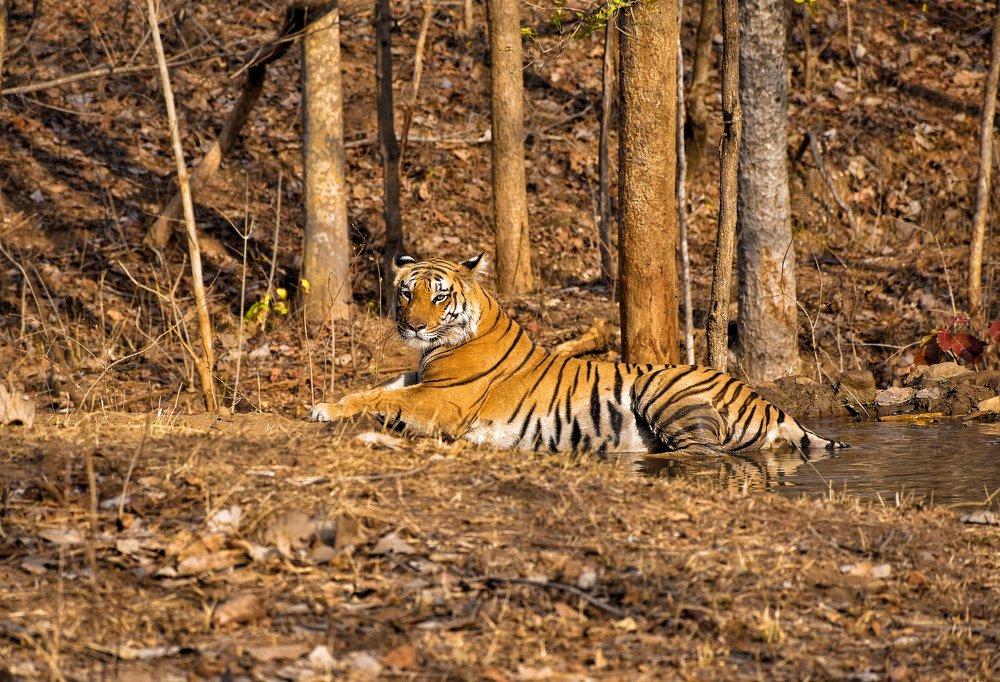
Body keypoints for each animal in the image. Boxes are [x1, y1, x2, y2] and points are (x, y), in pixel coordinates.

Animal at [309, 254, 847, 454]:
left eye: (439, 297)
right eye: (406, 293)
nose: (414, 325)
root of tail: (769, 403)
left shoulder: (443, 399)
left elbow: (386, 399)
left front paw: (326, 411)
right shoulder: (417, 378)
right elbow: (374, 389)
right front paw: (326, 404)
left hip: (662, 389)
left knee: (704, 451)